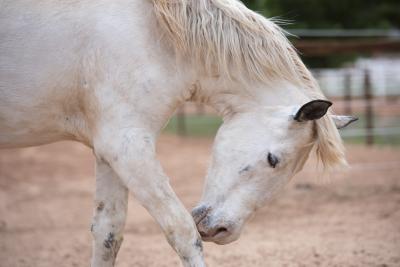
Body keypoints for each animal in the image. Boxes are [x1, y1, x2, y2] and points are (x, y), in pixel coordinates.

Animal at [0, 0, 356, 267]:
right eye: (273, 159)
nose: (223, 230)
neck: (154, 34)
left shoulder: (109, 151)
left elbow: (107, 234)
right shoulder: (129, 148)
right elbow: (182, 231)